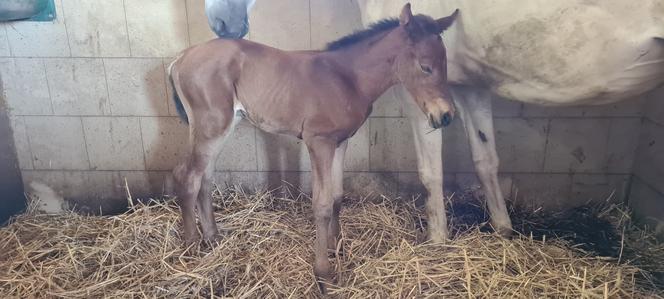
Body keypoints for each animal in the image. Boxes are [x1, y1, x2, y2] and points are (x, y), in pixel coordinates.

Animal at [167, 2, 456, 288]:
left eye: (446, 63)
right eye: (425, 67)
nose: (446, 115)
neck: (348, 78)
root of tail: (180, 58)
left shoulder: (340, 141)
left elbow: (337, 196)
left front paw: (335, 247)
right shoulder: (319, 142)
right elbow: (322, 204)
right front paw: (324, 273)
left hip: (224, 125)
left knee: (205, 177)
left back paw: (213, 237)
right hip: (212, 126)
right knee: (187, 176)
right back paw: (191, 248)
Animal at [208, 0, 664, 243]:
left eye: (428, 66)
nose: (221, 24)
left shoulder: (424, 95)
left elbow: (432, 170)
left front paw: (438, 239)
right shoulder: (469, 85)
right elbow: (486, 159)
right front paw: (503, 230)